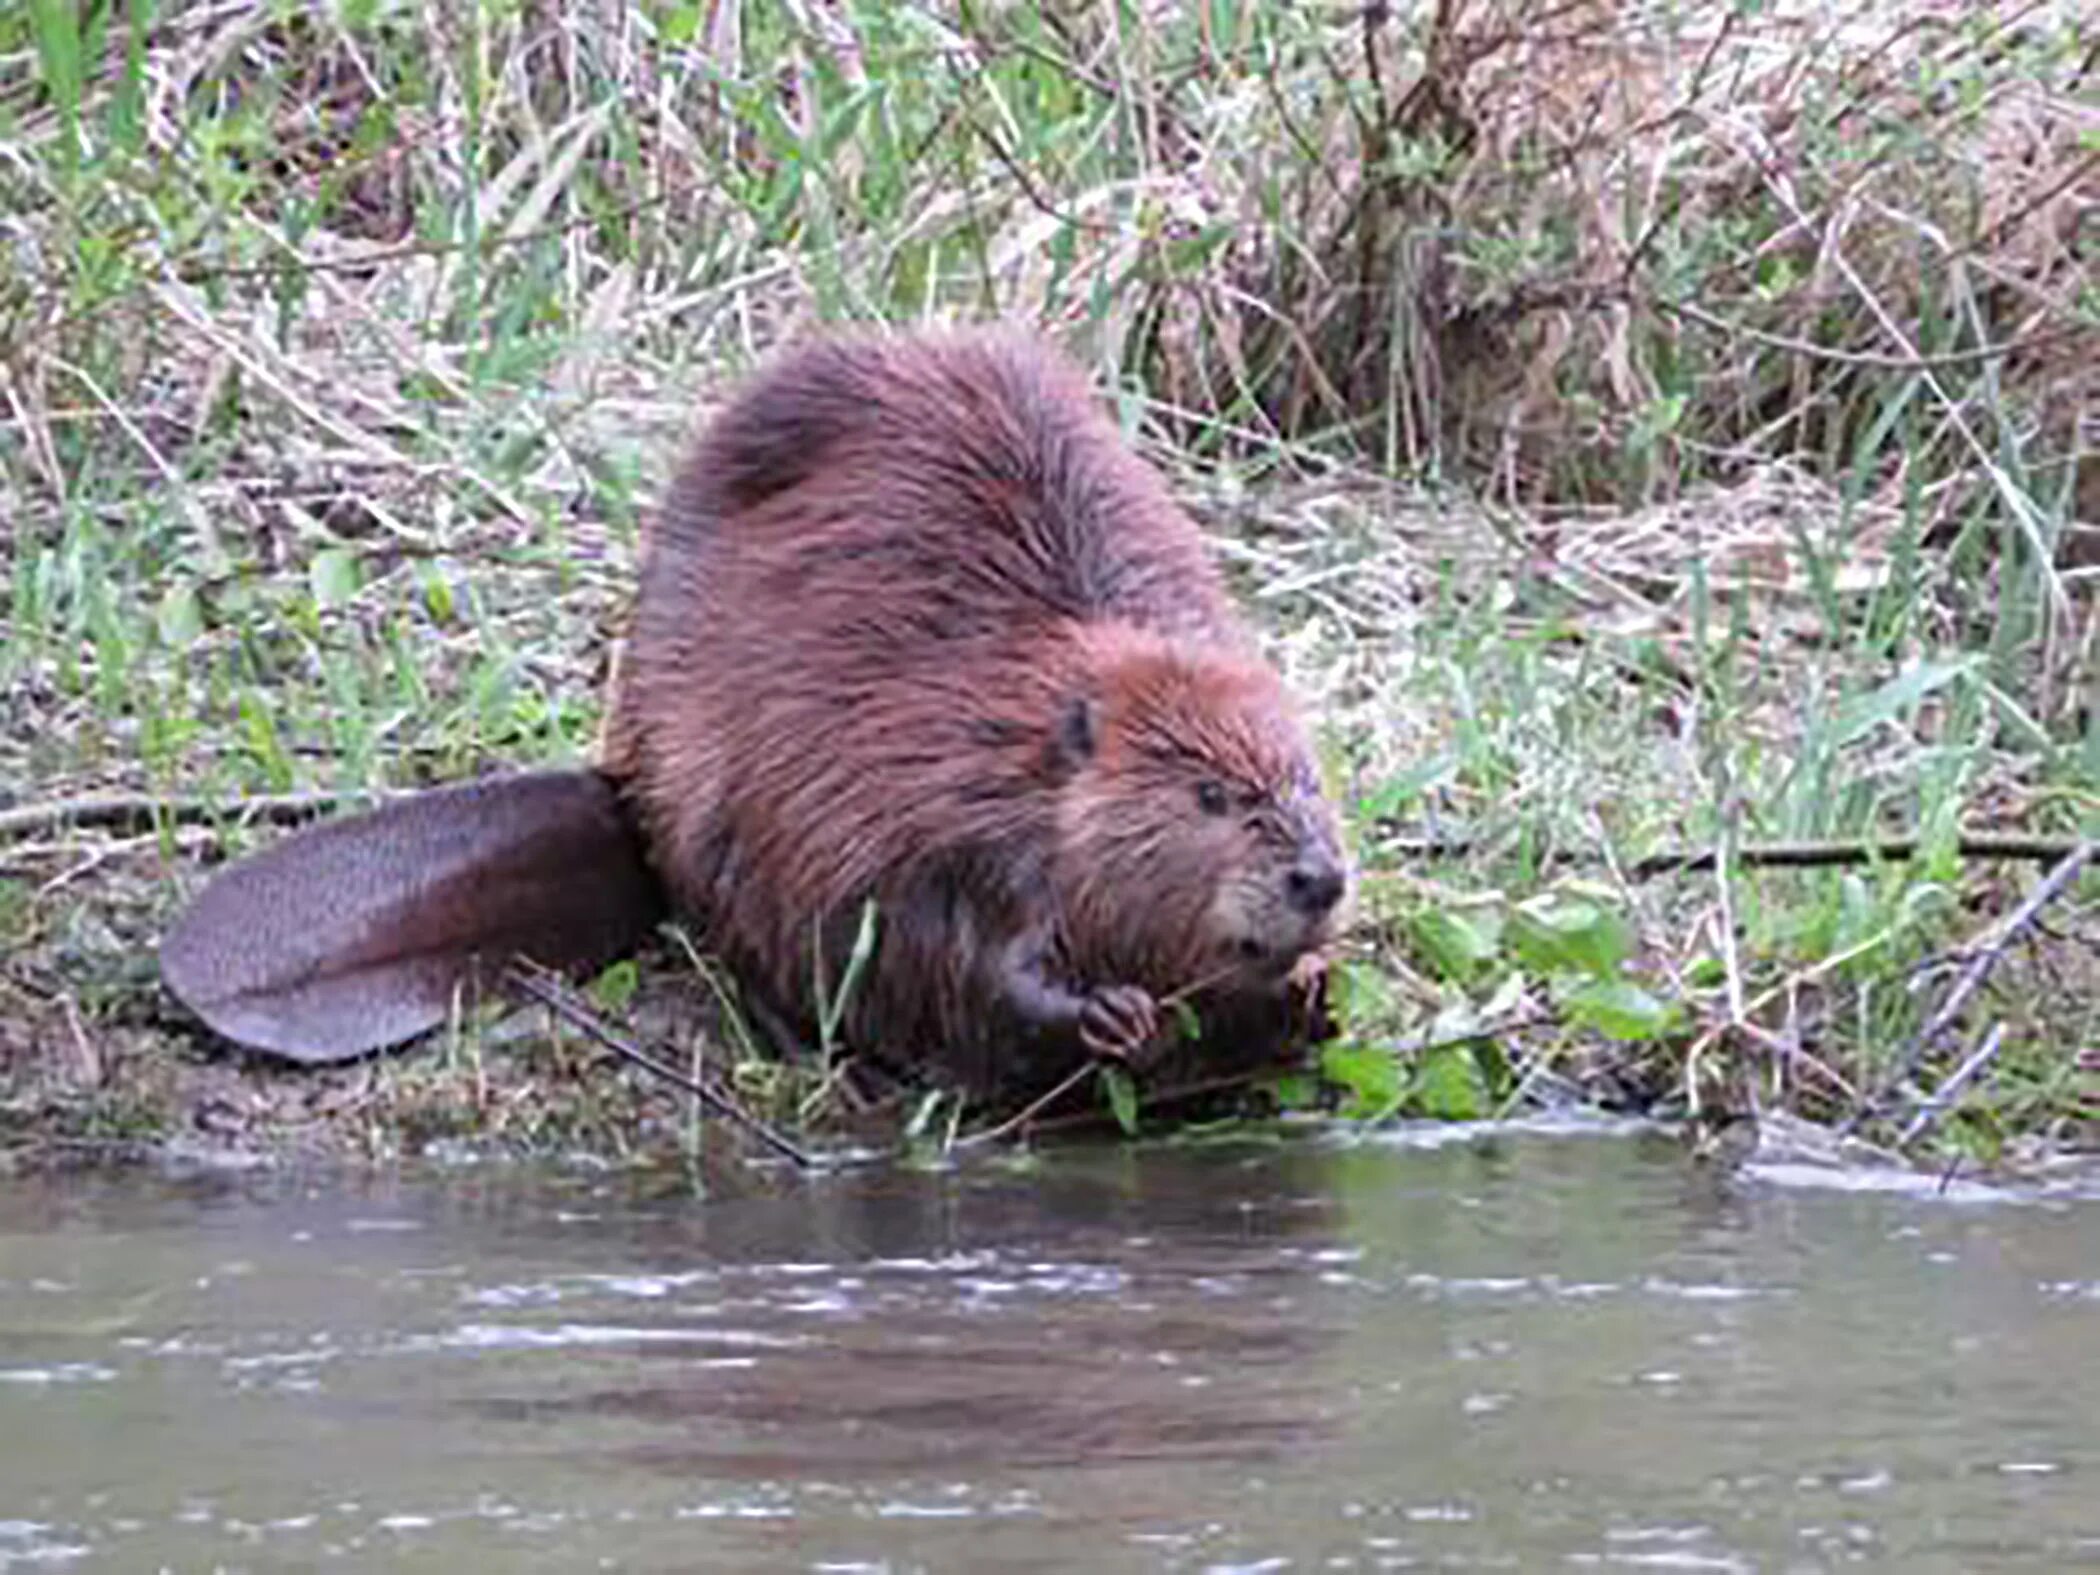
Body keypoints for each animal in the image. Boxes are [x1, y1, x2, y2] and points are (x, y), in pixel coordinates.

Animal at [159, 327, 1344, 1100]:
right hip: (693, 794)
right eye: (1211, 795)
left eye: (1308, 780)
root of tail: (616, 794)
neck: (1008, 738)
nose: (1319, 879)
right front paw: (1104, 1012)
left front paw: (1305, 991)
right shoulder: (897, 784)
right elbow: (931, 937)